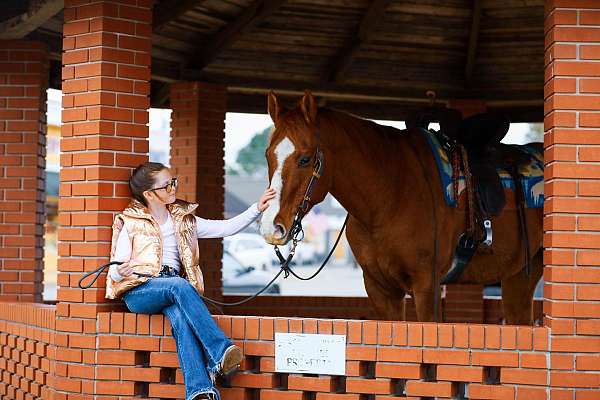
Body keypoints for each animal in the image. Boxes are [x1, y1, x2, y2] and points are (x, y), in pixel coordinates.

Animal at [258, 91, 544, 324]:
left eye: (305, 159)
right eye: (267, 154)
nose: (271, 226)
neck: (390, 195)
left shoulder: (426, 286)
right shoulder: (380, 289)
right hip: (520, 275)